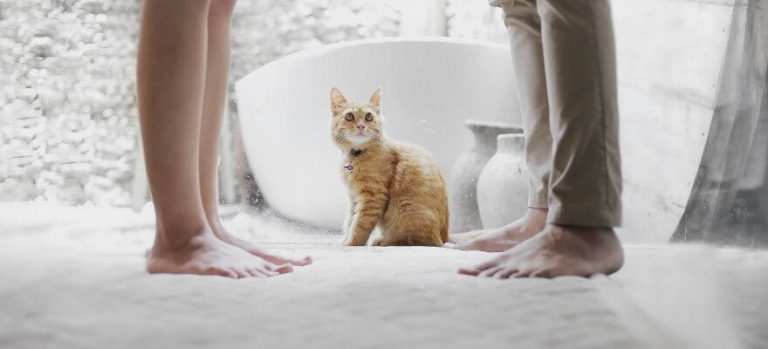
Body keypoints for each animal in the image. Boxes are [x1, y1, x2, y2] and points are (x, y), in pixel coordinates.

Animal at [330, 87, 450, 245]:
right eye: (349, 116)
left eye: (369, 117)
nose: (361, 126)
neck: (356, 155)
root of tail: (445, 237)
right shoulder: (354, 197)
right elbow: (350, 221)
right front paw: (344, 240)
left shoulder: (373, 197)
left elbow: (360, 224)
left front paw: (352, 243)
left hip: (404, 209)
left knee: (410, 240)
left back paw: (383, 241)